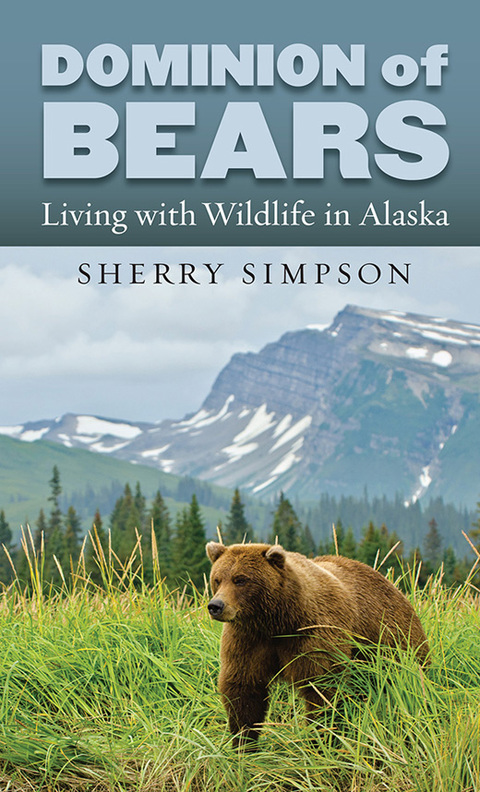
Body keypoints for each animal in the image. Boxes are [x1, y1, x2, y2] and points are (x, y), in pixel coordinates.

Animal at [206, 541, 429, 745]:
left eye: (241, 579)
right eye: (217, 579)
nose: (216, 605)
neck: (277, 622)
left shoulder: (315, 635)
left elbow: (323, 688)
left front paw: (320, 738)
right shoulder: (247, 640)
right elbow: (243, 689)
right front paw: (243, 743)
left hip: (392, 640)